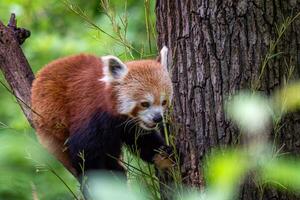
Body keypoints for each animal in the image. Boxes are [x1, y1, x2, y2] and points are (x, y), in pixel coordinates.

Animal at [30, 46, 173, 177]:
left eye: (164, 102)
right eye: (144, 104)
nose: (158, 118)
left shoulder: (128, 124)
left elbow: (142, 140)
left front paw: (164, 153)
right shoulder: (90, 114)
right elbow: (84, 152)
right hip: (50, 128)